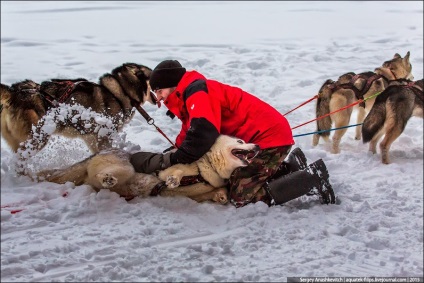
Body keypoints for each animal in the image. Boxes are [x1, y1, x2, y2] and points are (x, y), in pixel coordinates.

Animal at [37, 135, 262, 204]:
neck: (207, 169)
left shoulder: (201, 193)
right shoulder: (168, 169)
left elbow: (218, 191)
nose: (257, 146)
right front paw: (173, 181)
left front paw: (221, 196)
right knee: (104, 175)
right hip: (125, 169)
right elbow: (175, 172)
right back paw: (108, 179)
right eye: (240, 141)